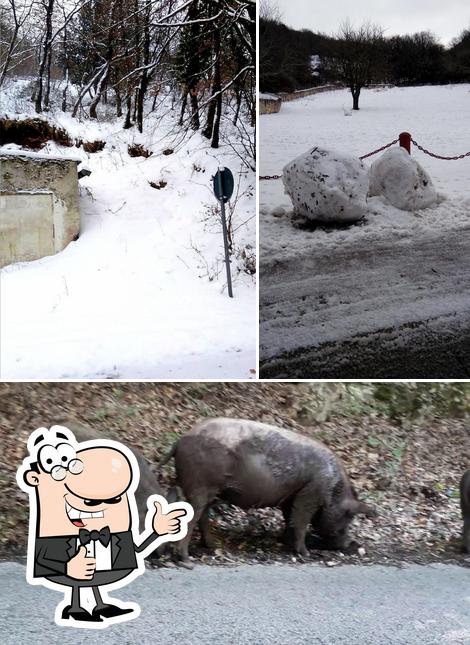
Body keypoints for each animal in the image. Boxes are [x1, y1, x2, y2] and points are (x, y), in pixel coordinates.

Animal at [159, 418, 374, 560]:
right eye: (348, 517)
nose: (349, 544)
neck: (334, 488)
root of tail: (180, 441)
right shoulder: (311, 492)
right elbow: (301, 520)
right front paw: (305, 554)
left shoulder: (291, 496)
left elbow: (290, 519)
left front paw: (286, 543)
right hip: (199, 485)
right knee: (194, 514)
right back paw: (186, 560)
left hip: (208, 489)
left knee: (202, 515)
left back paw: (211, 547)